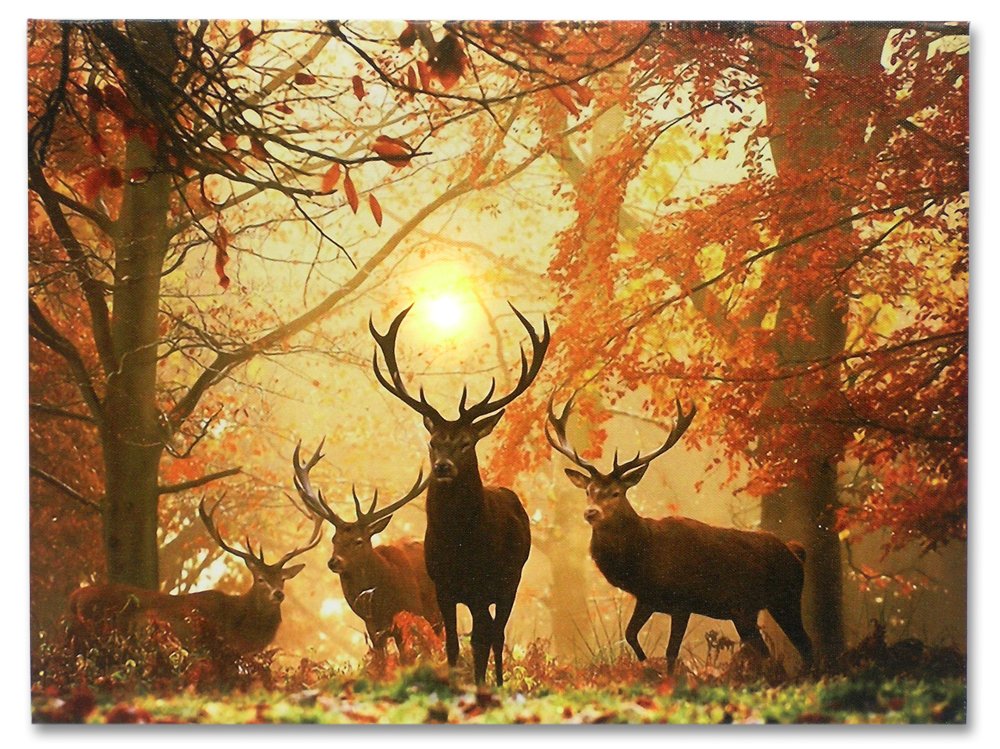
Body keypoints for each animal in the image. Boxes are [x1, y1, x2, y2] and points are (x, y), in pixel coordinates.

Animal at [370, 303, 549, 685]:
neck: (459, 546)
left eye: (466, 442)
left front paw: (481, 685)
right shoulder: (443, 586)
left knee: (496, 634)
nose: (443, 467)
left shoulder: (484, 584)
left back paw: (498, 682)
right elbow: (452, 644)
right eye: (433, 442)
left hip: (511, 580)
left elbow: (481, 639)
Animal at [546, 394, 813, 675]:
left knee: (806, 646)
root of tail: (796, 552)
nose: (590, 512)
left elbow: (671, 652)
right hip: (745, 612)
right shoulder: (647, 599)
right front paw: (646, 665)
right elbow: (630, 635)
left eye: (616, 493)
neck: (643, 558)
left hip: (786, 598)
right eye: (588, 490)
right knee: (766, 651)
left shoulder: (682, 601)